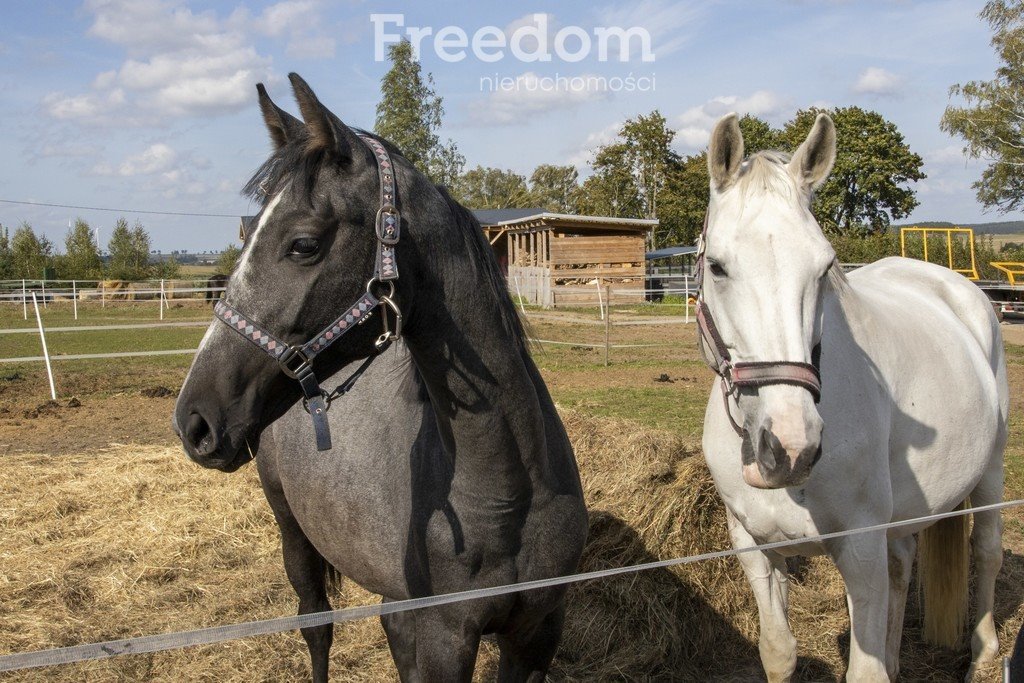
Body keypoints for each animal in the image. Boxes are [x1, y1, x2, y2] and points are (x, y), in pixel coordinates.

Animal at [173, 72, 589, 679]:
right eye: (246, 234)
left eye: (303, 244)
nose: (194, 420)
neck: (511, 493)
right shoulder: (444, 638)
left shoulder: (538, 634)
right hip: (292, 532)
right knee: (315, 625)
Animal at [700, 114, 1003, 679]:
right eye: (717, 266)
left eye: (824, 267)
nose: (790, 448)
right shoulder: (754, 547)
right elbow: (779, 651)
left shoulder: (860, 548)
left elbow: (865, 671)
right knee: (902, 563)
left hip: (993, 465)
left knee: (987, 551)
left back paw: (983, 656)